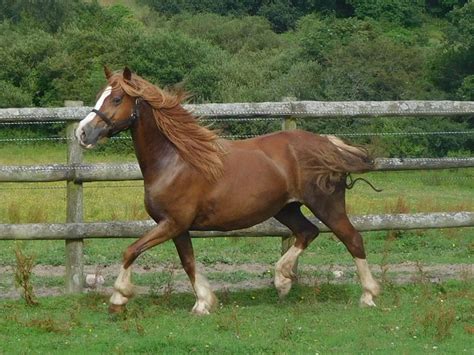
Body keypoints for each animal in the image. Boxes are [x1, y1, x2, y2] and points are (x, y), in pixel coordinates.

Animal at [78, 67, 382, 314]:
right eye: (99, 95)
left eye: (117, 99)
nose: (82, 133)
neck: (175, 160)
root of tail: (330, 145)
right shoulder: (178, 227)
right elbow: (188, 262)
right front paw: (203, 303)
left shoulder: (172, 223)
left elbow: (130, 251)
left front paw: (118, 299)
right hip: (286, 208)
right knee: (308, 232)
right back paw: (282, 280)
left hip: (326, 204)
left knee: (353, 239)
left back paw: (368, 296)